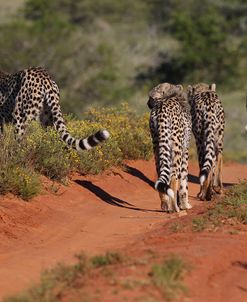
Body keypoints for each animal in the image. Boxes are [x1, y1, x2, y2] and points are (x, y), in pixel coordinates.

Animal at [148, 82, 192, 212]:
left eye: (151, 97)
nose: (148, 104)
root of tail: (161, 107)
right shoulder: (185, 150)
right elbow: (184, 180)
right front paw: (185, 205)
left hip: (157, 146)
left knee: (160, 175)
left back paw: (165, 205)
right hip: (176, 149)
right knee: (173, 177)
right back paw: (175, 208)